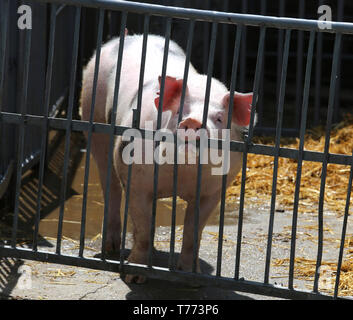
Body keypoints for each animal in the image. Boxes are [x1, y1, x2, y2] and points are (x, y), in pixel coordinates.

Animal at [80, 33, 253, 282]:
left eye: (219, 118)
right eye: (180, 112)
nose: (192, 121)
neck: (184, 170)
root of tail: (132, 36)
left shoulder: (214, 190)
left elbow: (192, 233)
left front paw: (191, 277)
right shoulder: (136, 180)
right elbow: (143, 227)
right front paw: (134, 277)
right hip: (93, 119)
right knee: (109, 185)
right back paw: (110, 249)